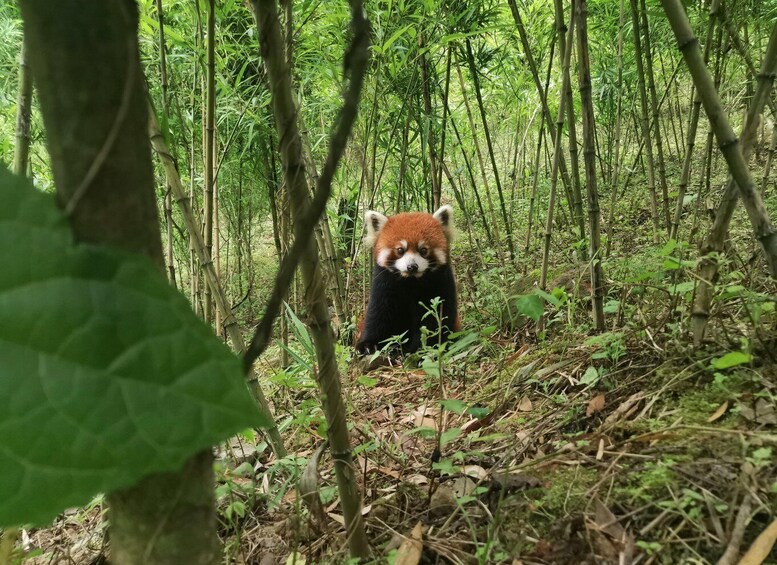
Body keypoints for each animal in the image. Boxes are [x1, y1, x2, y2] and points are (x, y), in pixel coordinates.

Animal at [354, 204, 458, 352]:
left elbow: (436, 317)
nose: (412, 267)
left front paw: (420, 348)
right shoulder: (383, 284)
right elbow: (377, 314)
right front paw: (368, 344)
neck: (410, 282)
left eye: (423, 250)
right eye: (400, 250)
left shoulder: (440, 284)